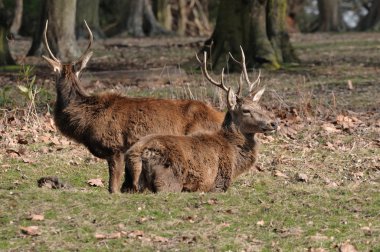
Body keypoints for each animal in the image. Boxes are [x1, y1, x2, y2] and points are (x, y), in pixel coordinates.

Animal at [123, 47, 278, 193]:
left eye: (259, 106)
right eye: (246, 110)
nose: (274, 123)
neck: (234, 157)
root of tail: (137, 154)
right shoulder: (219, 183)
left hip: (127, 183)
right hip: (169, 179)